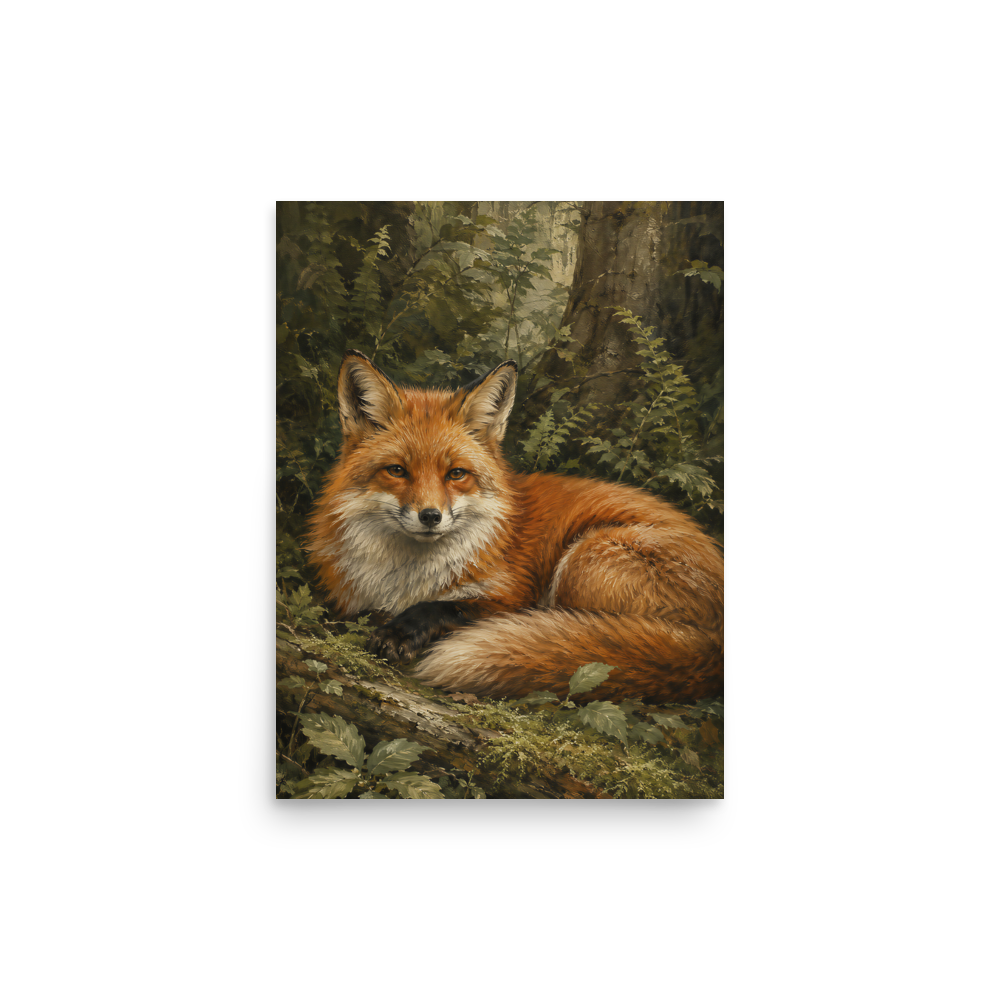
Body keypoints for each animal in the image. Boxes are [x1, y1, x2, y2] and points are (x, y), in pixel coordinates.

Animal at [306, 350, 723, 705]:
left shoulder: (512, 597)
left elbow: (448, 608)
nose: (430, 516)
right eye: (397, 470)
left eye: (456, 474)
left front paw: (400, 631)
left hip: (583, 558)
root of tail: (713, 648)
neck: (405, 579)